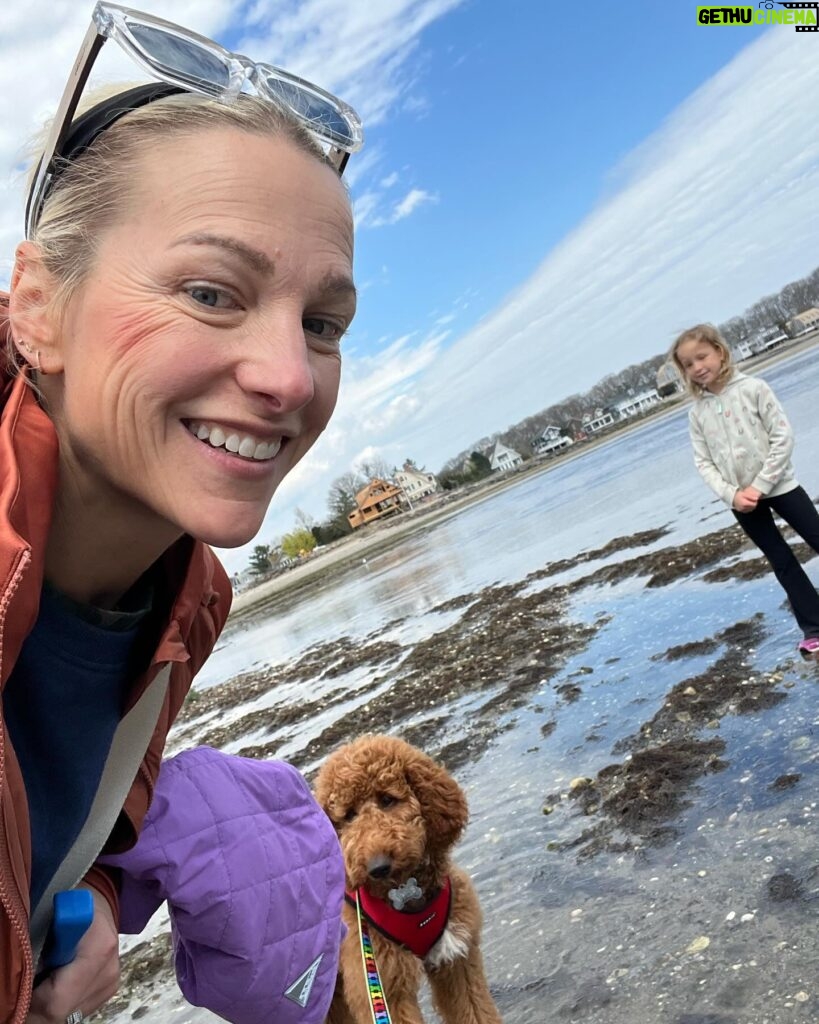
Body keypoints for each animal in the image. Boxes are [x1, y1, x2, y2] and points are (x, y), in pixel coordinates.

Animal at [317, 737, 501, 1024]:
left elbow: (476, 1011)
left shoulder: (456, 960)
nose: (377, 867)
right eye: (348, 815)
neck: (406, 892)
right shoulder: (383, 984)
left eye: (387, 799)